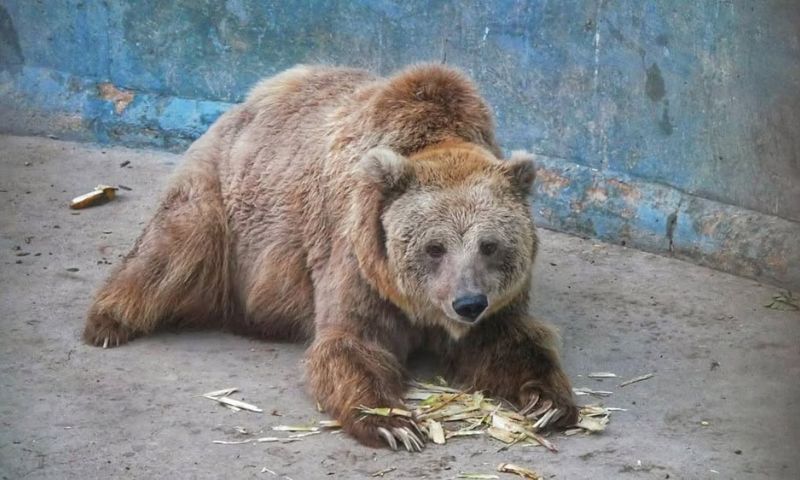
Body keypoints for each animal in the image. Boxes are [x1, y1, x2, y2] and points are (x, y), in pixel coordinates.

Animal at [83, 63, 578, 451]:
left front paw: (548, 403)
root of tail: (248, 99)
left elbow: (510, 341)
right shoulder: (357, 256)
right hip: (223, 201)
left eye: (489, 245)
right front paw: (393, 423)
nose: (468, 302)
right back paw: (107, 322)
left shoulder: (496, 300)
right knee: (175, 247)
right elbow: (350, 343)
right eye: (434, 247)